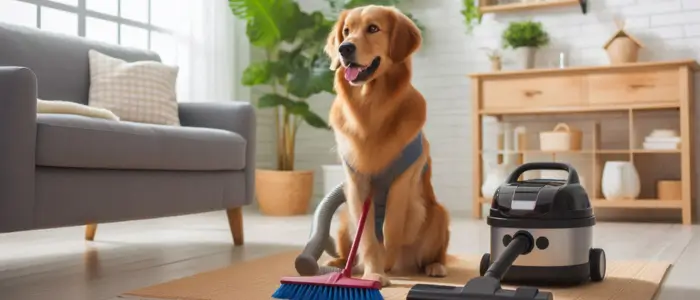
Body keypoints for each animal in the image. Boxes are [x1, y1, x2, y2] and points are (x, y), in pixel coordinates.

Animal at [322, 4, 448, 286]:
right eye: (346, 31)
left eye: (373, 28)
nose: (344, 48)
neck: (371, 108)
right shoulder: (357, 183)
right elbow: (367, 236)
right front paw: (374, 272)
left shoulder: (403, 179)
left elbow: (391, 226)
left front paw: (386, 259)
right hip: (344, 219)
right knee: (347, 248)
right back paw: (337, 264)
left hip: (438, 214)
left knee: (435, 254)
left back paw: (434, 266)